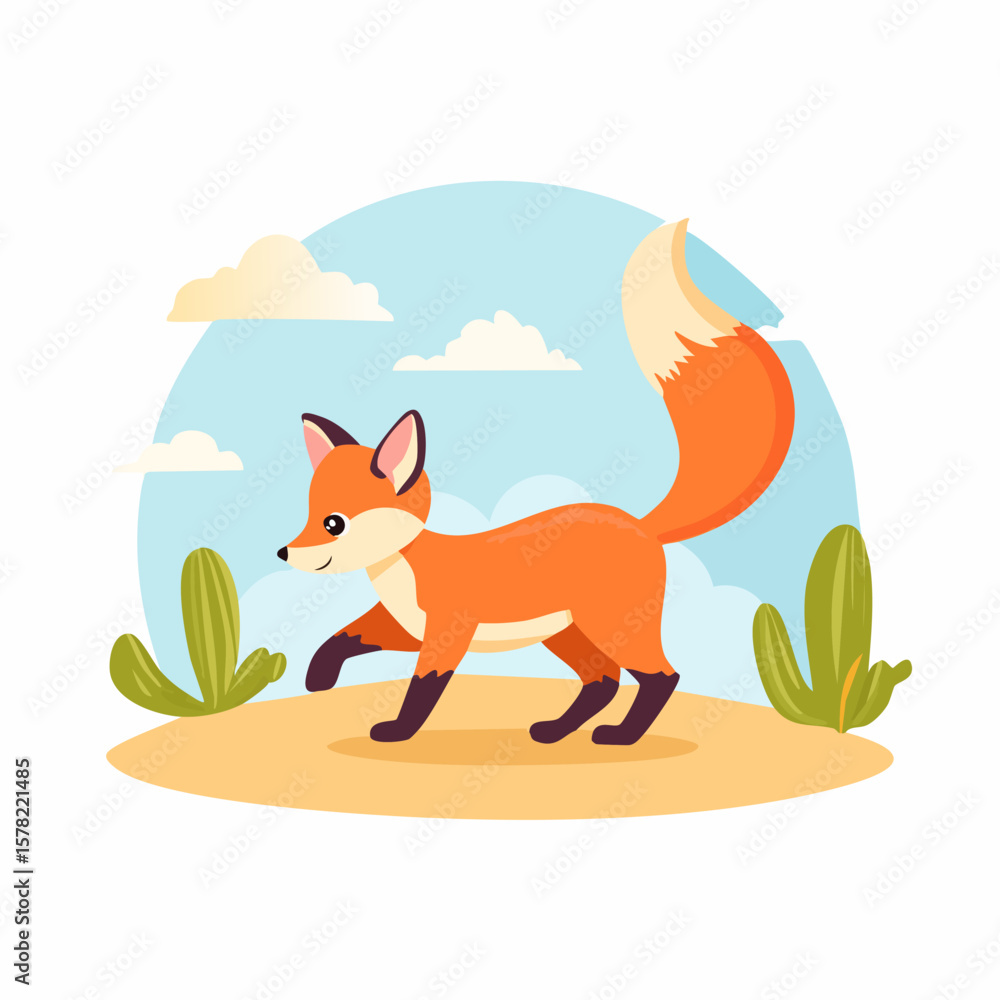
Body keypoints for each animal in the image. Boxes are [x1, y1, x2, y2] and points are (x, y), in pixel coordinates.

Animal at [277, 219, 794, 744]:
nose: (283, 552)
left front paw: (399, 730)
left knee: (661, 676)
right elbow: (340, 638)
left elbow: (423, 688)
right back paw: (557, 730)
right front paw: (318, 677)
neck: (402, 570)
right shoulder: (401, 627)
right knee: (603, 680)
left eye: (334, 522)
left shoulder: (446, 632)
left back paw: (622, 735)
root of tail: (640, 523)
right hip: (568, 634)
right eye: (308, 513)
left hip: (612, 627)